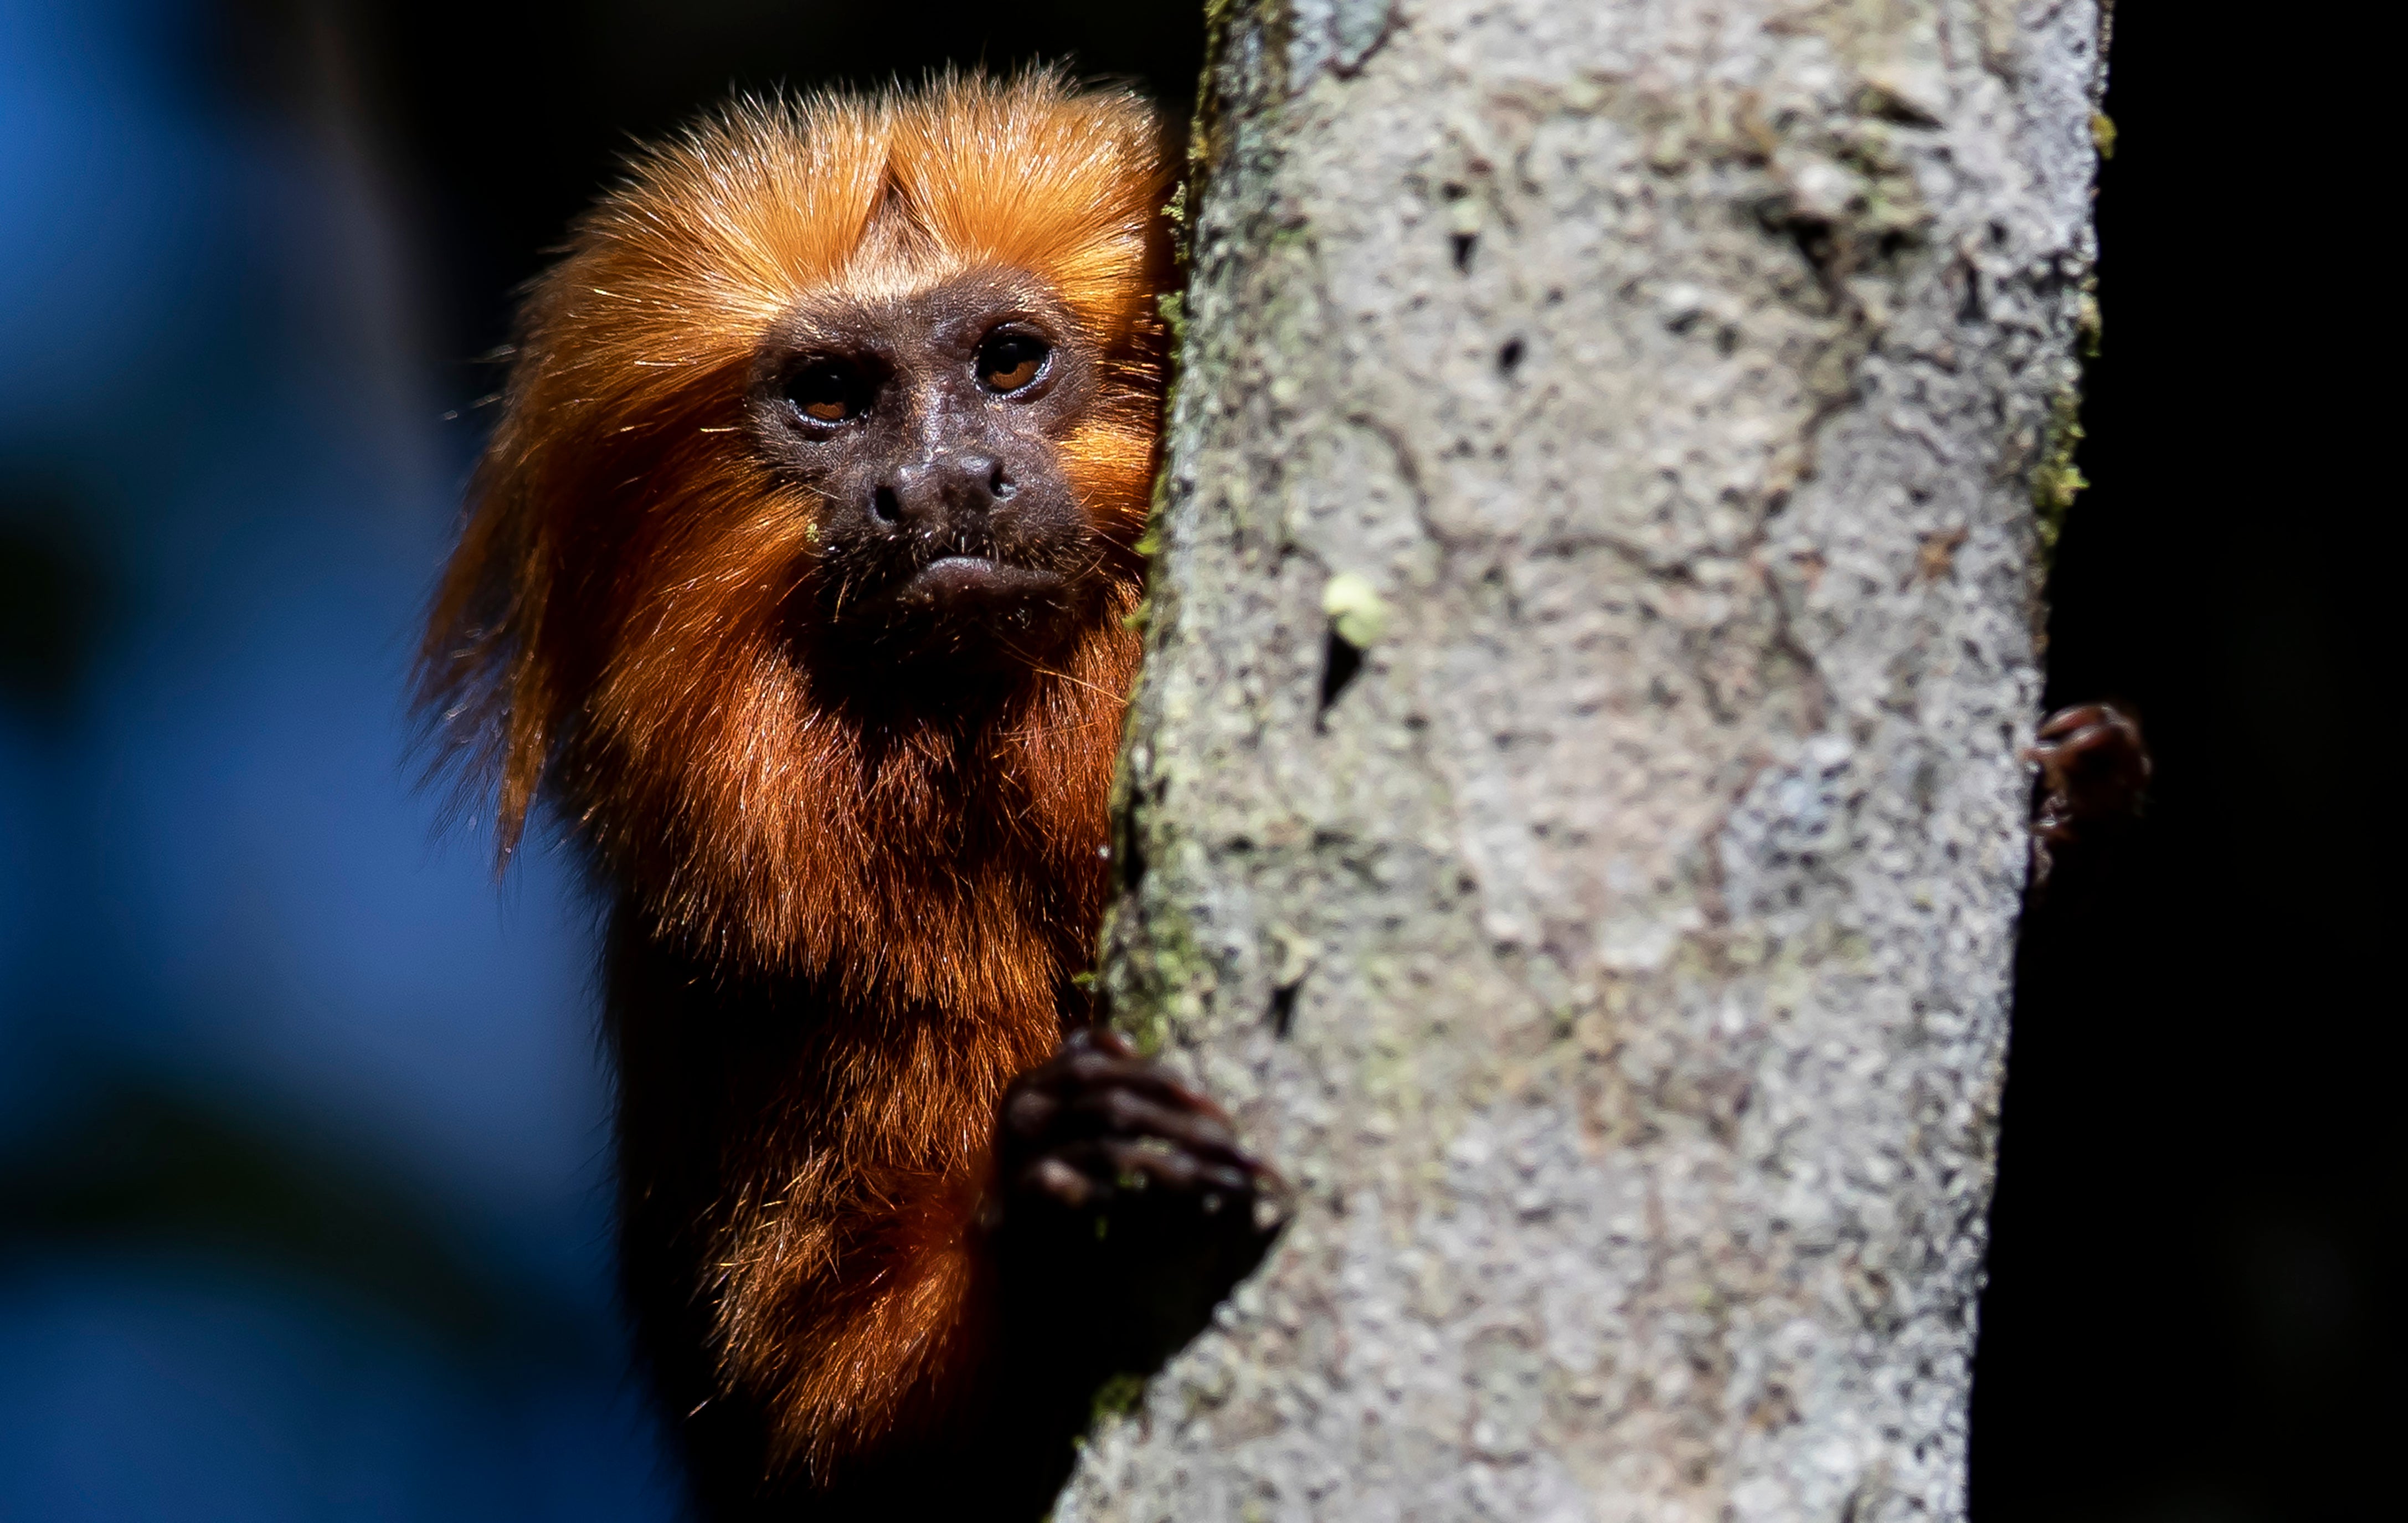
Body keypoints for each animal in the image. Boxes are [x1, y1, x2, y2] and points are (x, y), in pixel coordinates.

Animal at [416, 73, 1278, 1520]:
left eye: (1005, 363)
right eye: (830, 394)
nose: (940, 483)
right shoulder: (735, 993)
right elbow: (810, 1441)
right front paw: (1057, 1199)